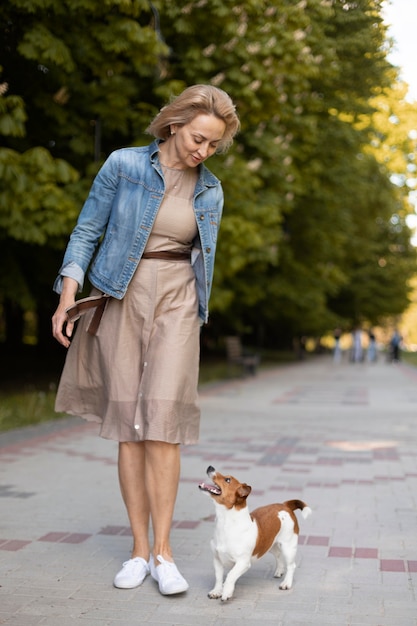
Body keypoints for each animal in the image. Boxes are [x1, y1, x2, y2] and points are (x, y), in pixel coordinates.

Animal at [197, 464, 308, 600]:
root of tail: (285, 505)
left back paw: (286, 583)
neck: (226, 523)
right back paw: (279, 571)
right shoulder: (217, 559)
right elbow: (218, 577)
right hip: (269, 544)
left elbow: (230, 575)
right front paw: (217, 591)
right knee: (278, 555)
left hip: (288, 547)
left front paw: (227, 592)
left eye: (227, 480)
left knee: (291, 565)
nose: (210, 467)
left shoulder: (243, 563)